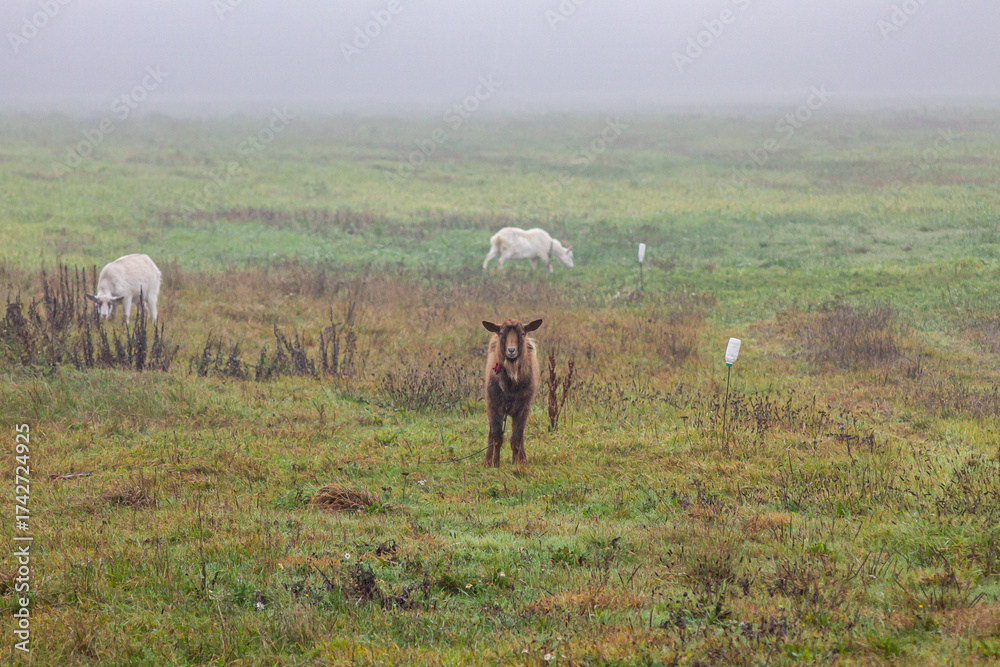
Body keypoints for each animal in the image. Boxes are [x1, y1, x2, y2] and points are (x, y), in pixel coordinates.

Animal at [482, 318, 543, 466]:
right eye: (501, 333)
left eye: (522, 333)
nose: (511, 350)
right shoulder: (493, 407)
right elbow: (497, 438)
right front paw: (495, 464)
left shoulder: (523, 409)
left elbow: (516, 439)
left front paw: (516, 464)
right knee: (491, 434)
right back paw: (487, 461)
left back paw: (523, 459)